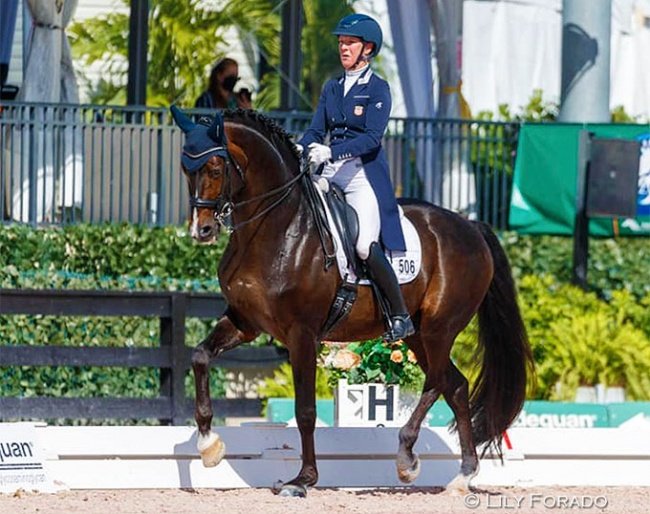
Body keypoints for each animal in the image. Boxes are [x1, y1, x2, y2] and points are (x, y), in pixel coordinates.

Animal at [171, 107, 532, 496]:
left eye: (215, 168)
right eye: (185, 169)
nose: (201, 231)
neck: (278, 227)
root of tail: (471, 227)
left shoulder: (302, 334)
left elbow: (306, 411)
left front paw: (303, 480)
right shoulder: (245, 321)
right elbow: (200, 356)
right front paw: (208, 445)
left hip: (440, 328)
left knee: (437, 381)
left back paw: (406, 457)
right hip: (419, 334)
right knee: (456, 385)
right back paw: (463, 474)